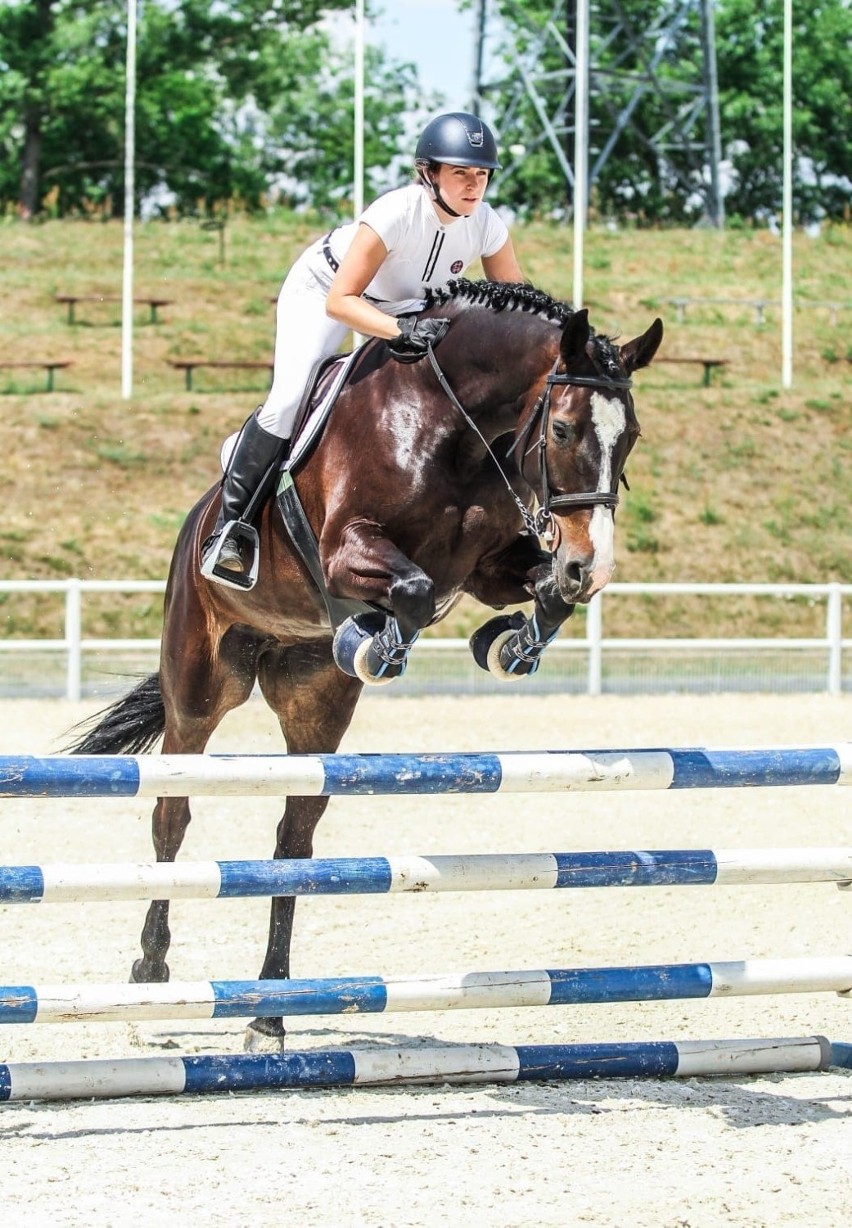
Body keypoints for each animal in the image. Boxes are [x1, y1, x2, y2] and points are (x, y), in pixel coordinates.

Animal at [68, 282, 667, 1051]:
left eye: (631, 436)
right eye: (562, 431)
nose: (592, 566)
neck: (459, 427)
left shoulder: (485, 567)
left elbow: (532, 591)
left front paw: (507, 644)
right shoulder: (347, 550)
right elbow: (410, 587)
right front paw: (374, 640)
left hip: (314, 708)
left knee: (294, 842)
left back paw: (268, 1015)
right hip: (199, 687)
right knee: (172, 816)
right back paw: (149, 975)